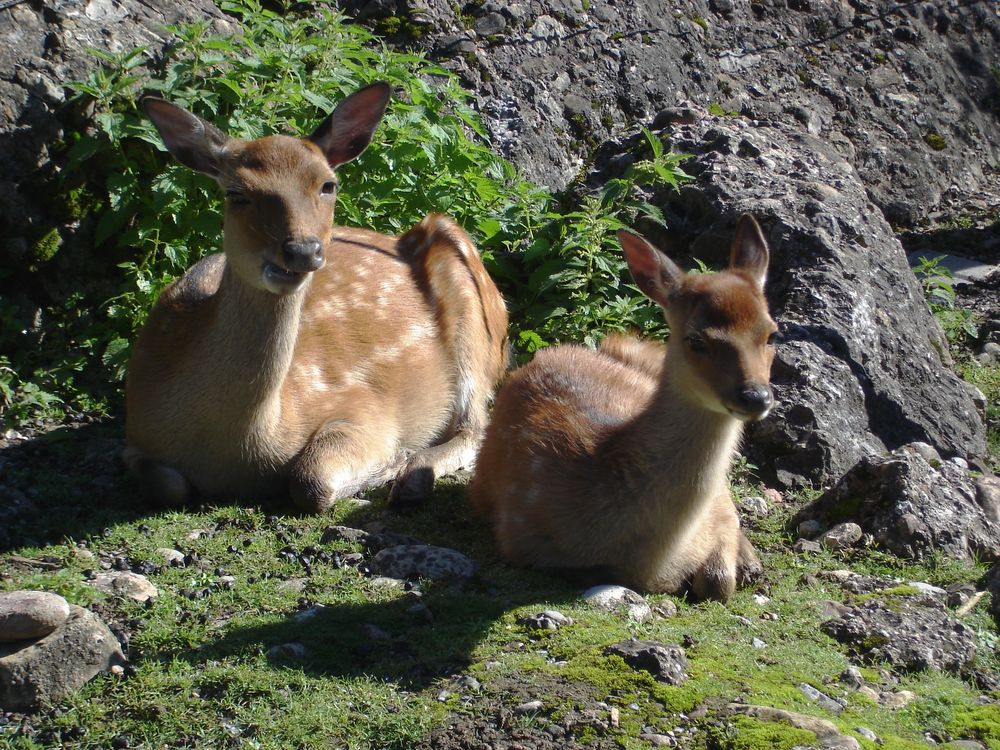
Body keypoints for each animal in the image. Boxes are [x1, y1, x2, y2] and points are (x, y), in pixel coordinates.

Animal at [123, 83, 508, 516]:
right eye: (236, 193)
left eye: (328, 184)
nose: (303, 250)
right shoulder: (134, 434)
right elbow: (167, 485)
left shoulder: (366, 408)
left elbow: (310, 479)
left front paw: (391, 463)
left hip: (472, 309)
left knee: (475, 426)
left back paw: (410, 476)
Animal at [472, 214, 776, 604]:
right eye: (696, 340)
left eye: (771, 333)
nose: (756, 396)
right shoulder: (519, 536)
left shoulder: (716, 511)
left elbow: (719, 576)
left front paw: (745, 564)